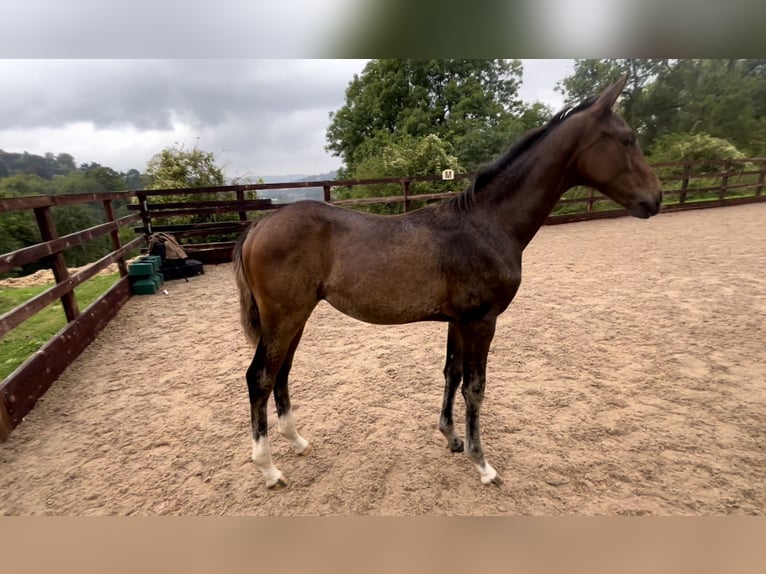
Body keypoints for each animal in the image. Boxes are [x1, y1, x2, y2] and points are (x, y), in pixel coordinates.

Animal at [232, 75, 660, 490]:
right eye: (628, 139)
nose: (654, 199)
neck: (487, 224)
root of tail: (258, 226)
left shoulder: (458, 320)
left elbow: (451, 373)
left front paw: (452, 438)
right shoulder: (482, 321)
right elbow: (475, 386)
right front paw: (482, 463)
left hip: (295, 318)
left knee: (281, 373)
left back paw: (298, 442)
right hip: (285, 317)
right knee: (260, 377)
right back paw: (269, 470)